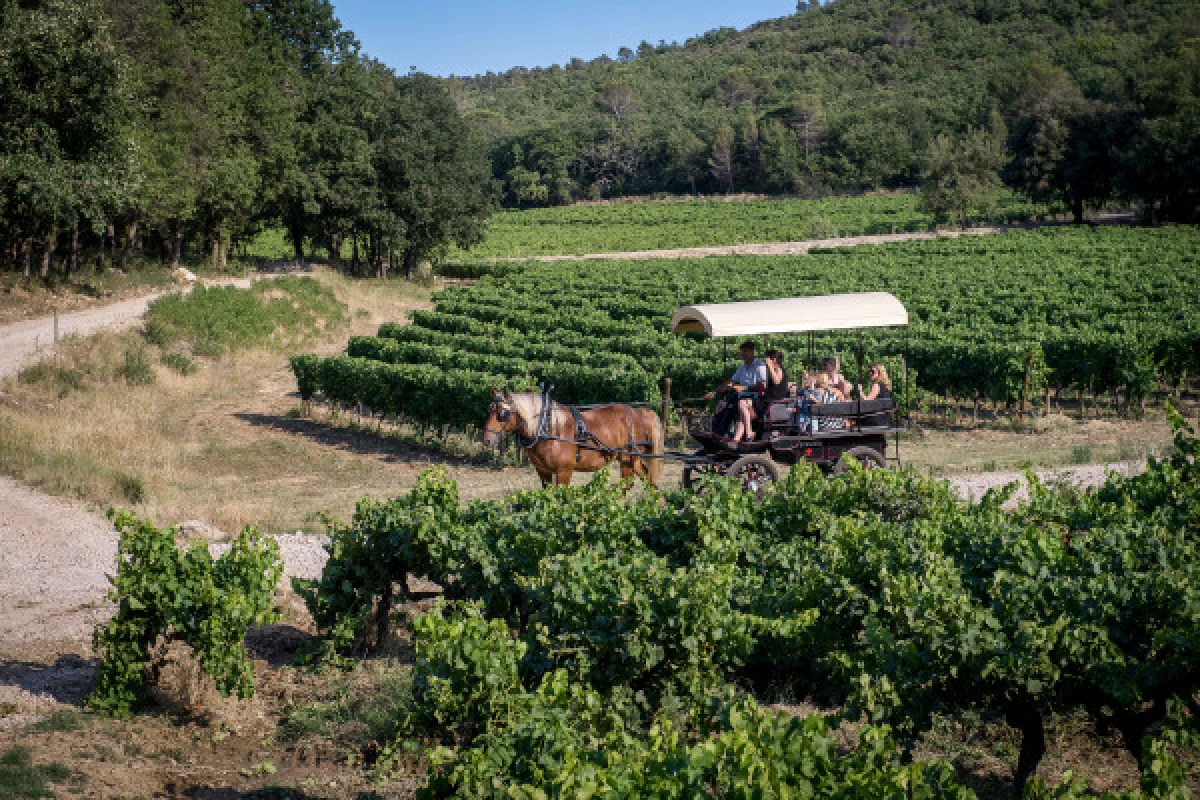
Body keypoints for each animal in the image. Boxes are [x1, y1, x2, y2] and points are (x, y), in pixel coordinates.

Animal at [480, 388, 667, 489]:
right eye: (489, 409)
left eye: (502, 414)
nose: (486, 440)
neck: (549, 429)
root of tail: (638, 412)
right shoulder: (543, 471)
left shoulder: (564, 470)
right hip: (633, 459)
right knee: (648, 479)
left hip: (627, 458)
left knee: (626, 486)